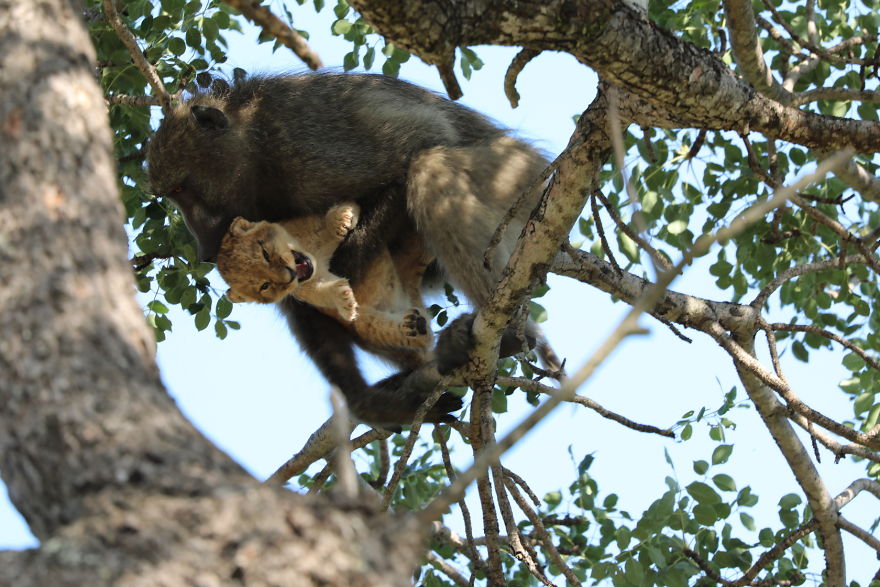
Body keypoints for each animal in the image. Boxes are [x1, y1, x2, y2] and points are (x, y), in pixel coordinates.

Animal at [147, 73, 560, 425]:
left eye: (181, 189)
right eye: (171, 195)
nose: (203, 248)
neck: (252, 143)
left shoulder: (307, 147)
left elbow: (420, 142)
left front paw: (348, 262)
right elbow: (292, 295)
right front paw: (371, 403)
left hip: (517, 179)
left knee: (430, 166)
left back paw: (510, 333)